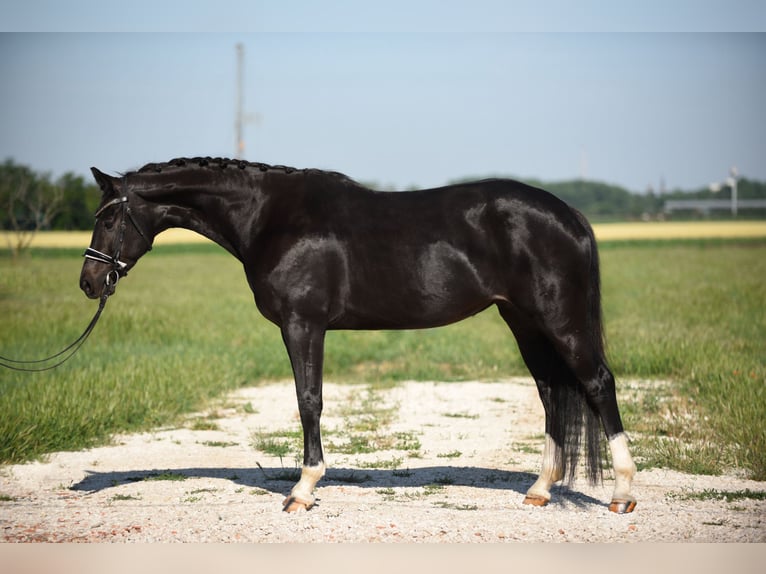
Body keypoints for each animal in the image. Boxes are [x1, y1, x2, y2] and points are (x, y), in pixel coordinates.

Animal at [81, 159, 640, 516]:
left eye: (108, 217)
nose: (89, 282)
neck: (269, 216)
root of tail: (569, 214)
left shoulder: (303, 324)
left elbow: (308, 399)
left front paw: (303, 489)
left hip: (559, 319)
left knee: (597, 383)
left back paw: (621, 493)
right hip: (523, 321)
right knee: (551, 391)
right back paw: (540, 489)